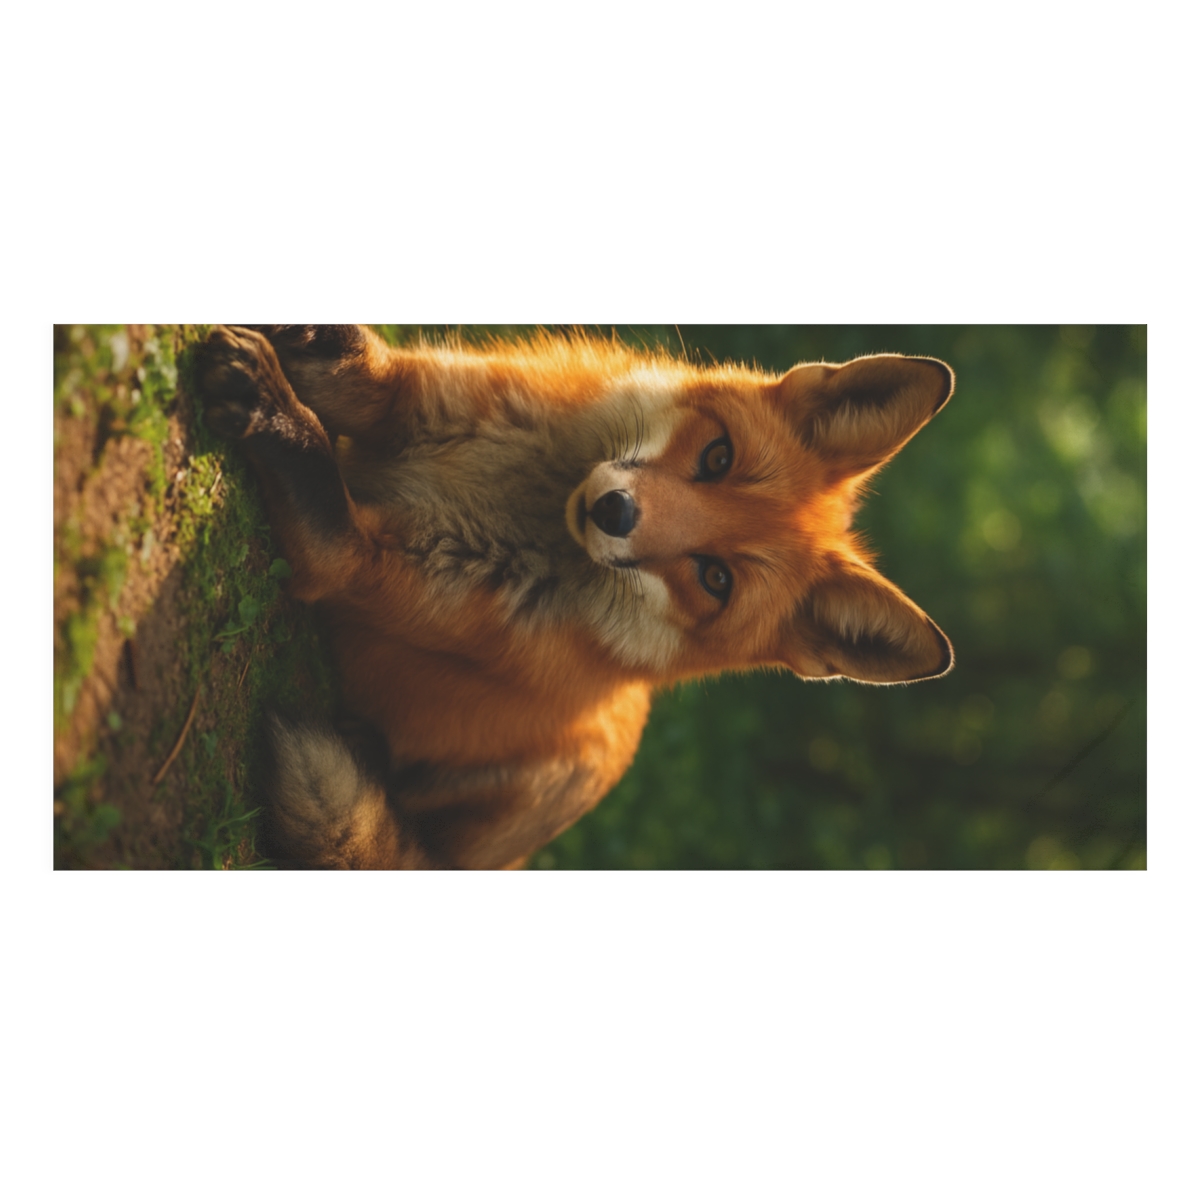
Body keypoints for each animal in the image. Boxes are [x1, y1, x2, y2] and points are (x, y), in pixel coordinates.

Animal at [194, 325, 954, 869]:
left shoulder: (355, 564)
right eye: (718, 456)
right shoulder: (408, 394)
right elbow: (354, 359)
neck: (532, 501)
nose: (614, 512)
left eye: (715, 579)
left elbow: (320, 486)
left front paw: (272, 410)